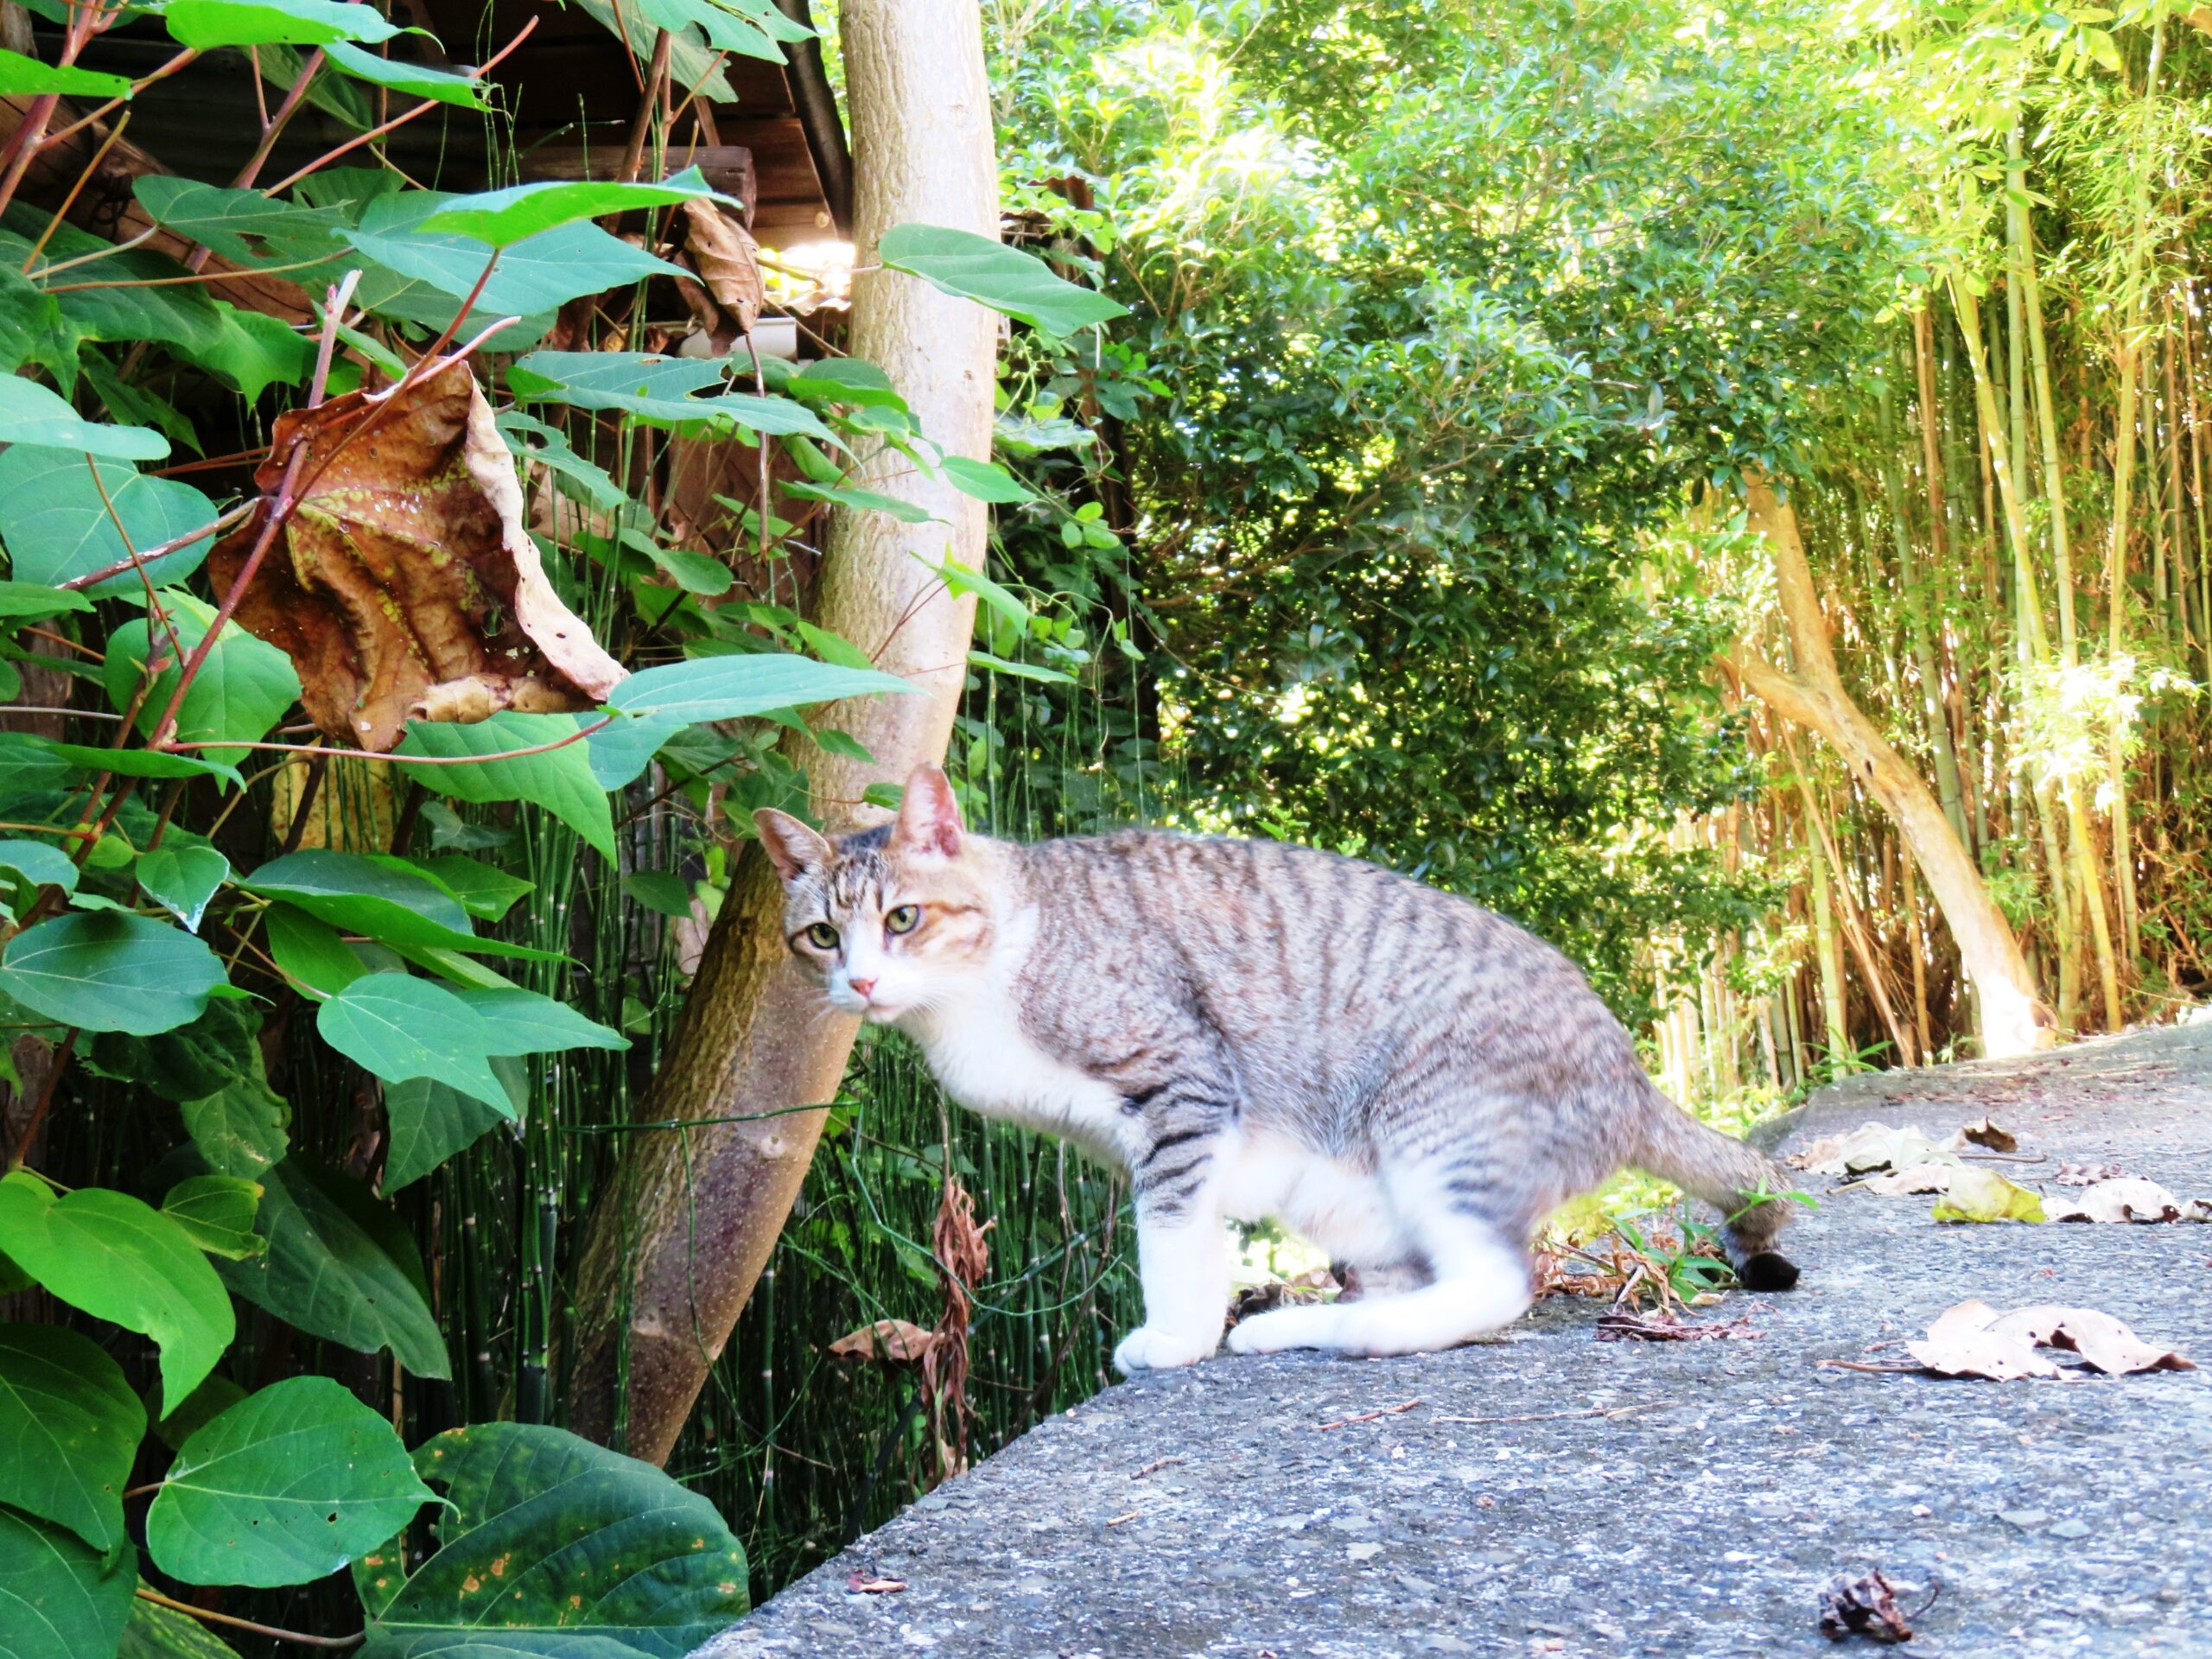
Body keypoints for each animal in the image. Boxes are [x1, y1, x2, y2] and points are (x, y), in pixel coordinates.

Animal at [760, 769, 1796, 1380]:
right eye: (821, 936)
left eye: (902, 919)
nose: (861, 981)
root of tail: (1631, 1073)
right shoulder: (1162, 1138)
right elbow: (1194, 1232)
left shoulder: (1182, 1090)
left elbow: (1170, 1238)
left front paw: (1175, 1340)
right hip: (1353, 1195)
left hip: (1435, 1128)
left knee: (1492, 1288)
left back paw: (1300, 1331)